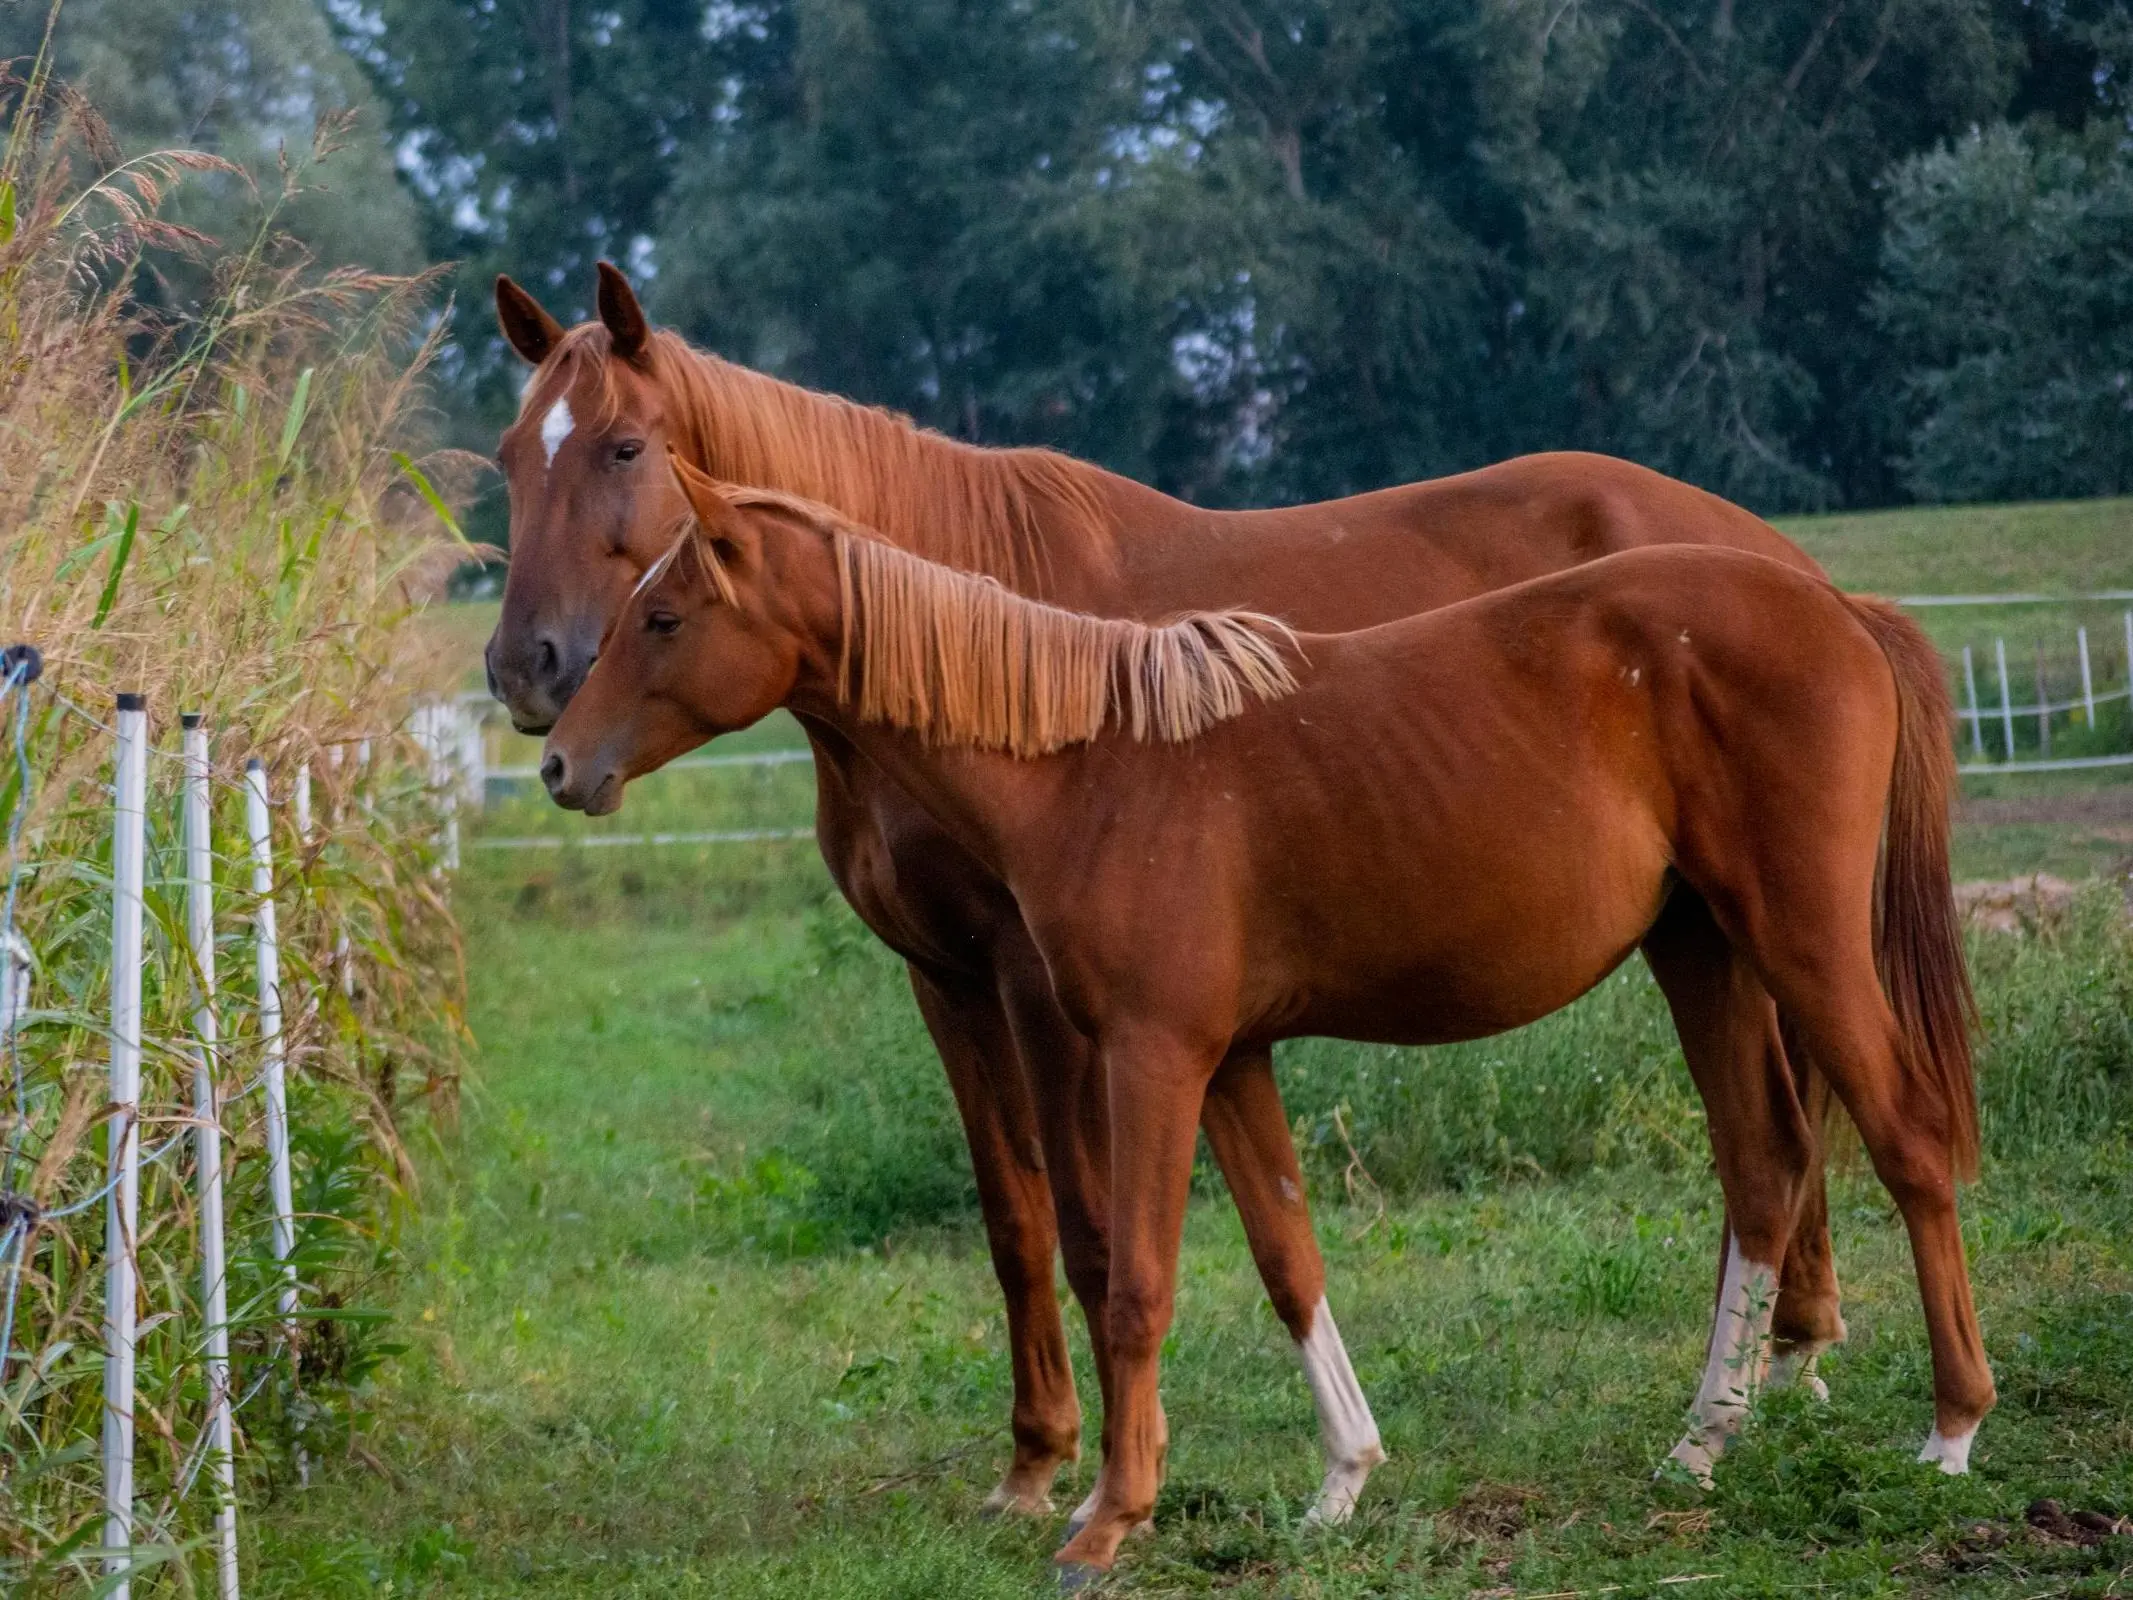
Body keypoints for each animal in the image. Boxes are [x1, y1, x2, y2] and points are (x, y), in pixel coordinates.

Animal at [484, 263, 1851, 1518]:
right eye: (505, 457)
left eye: (623, 446)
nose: (526, 673)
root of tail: (1777, 556)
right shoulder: (944, 979)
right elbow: (1014, 1220)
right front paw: (1036, 1458)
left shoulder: (1044, 988)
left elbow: (1097, 1231)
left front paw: (1105, 1468)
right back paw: (1774, 1366)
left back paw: (1769, 1373)